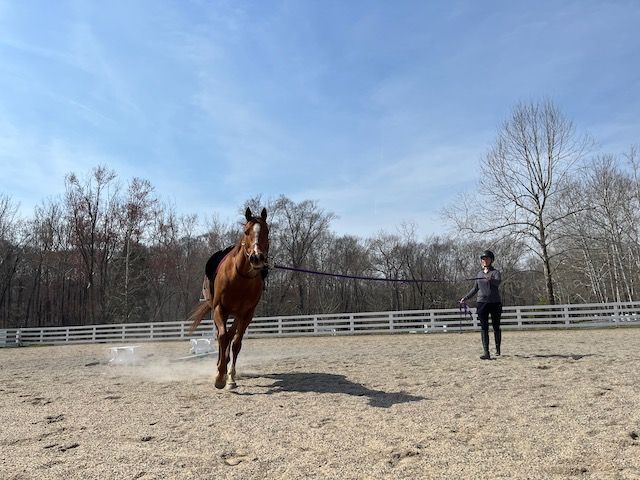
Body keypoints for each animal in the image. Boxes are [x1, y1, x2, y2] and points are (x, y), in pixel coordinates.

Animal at [188, 207, 270, 389]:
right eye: (246, 231)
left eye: (267, 232)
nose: (256, 258)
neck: (239, 278)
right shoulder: (220, 309)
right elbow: (222, 337)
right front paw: (219, 376)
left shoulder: (246, 314)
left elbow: (236, 343)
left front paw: (230, 376)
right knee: (222, 336)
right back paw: (220, 366)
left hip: (237, 315)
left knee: (231, 336)